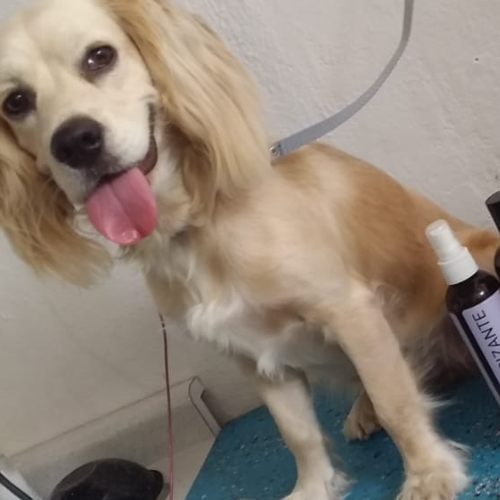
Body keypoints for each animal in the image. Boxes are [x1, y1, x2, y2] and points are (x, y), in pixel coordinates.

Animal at [0, 1, 498, 499]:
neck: (192, 229)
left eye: (99, 56)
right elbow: (297, 433)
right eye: (15, 102)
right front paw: (315, 485)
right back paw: (363, 409)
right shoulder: (251, 354)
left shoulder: (348, 310)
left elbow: (395, 401)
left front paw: (429, 474)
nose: (74, 142)